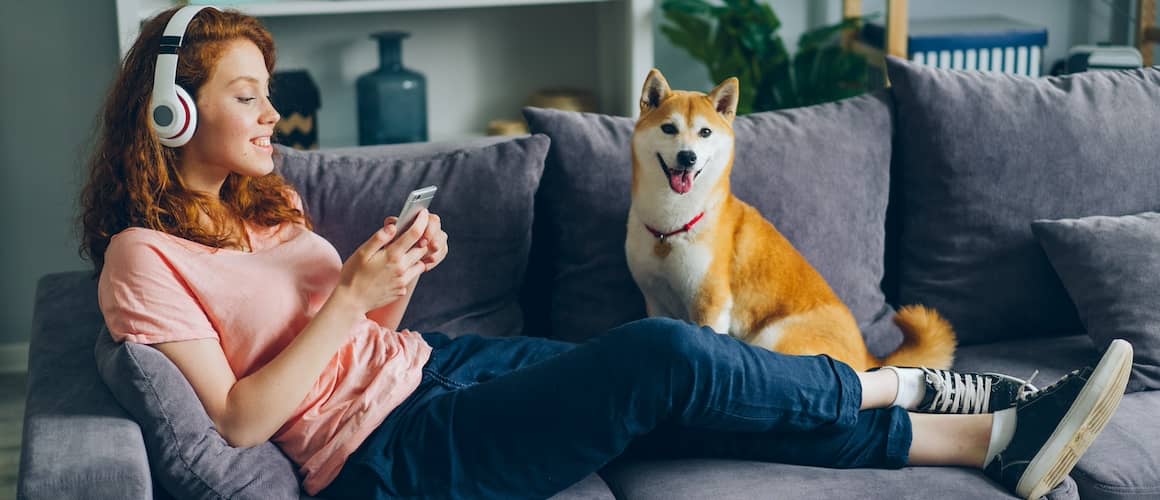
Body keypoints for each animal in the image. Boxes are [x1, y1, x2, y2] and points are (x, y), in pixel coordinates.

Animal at [631, 68, 955, 368]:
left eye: (705, 132)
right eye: (669, 128)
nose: (688, 157)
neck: (672, 226)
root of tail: (868, 359)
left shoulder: (710, 303)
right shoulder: (654, 300)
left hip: (774, 335)